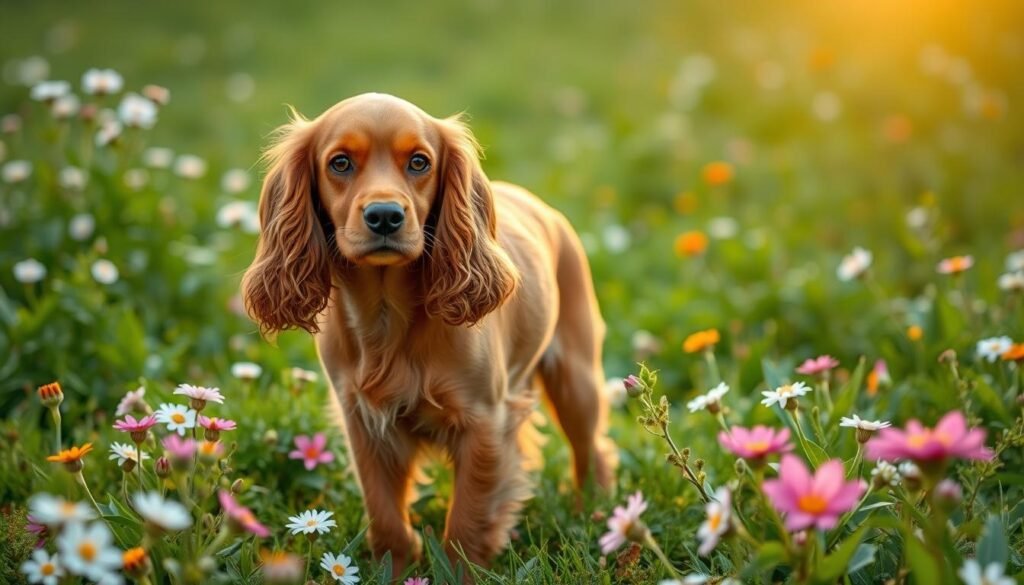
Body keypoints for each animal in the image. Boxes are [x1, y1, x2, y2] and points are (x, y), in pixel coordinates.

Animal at [241, 93, 614, 573]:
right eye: (340, 163)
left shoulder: (483, 422)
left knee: (591, 447)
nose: (384, 215)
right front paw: (393, 569)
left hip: (576, 377)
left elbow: (468, 520)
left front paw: (460, 572)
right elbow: (384, 513)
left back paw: (596, 514)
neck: (387, 315)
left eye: (419, 162)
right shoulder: (363, 421)